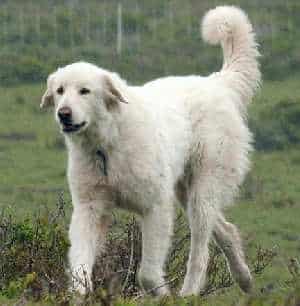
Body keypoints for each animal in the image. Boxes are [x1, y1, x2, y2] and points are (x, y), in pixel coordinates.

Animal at [41, 5, 262, 296]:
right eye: (60, 91)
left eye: (84, 91)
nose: (63, 114)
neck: (108, 144)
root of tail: (216, 83)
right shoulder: (89, 209)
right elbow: (79, 271)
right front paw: (78, 295)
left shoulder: (155, 207)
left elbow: (147, 274)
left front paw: (163, 294)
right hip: (185, 191)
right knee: (226, 230)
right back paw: (244, 278)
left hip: (203, 190)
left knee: (200, 252)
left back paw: (188, 294)